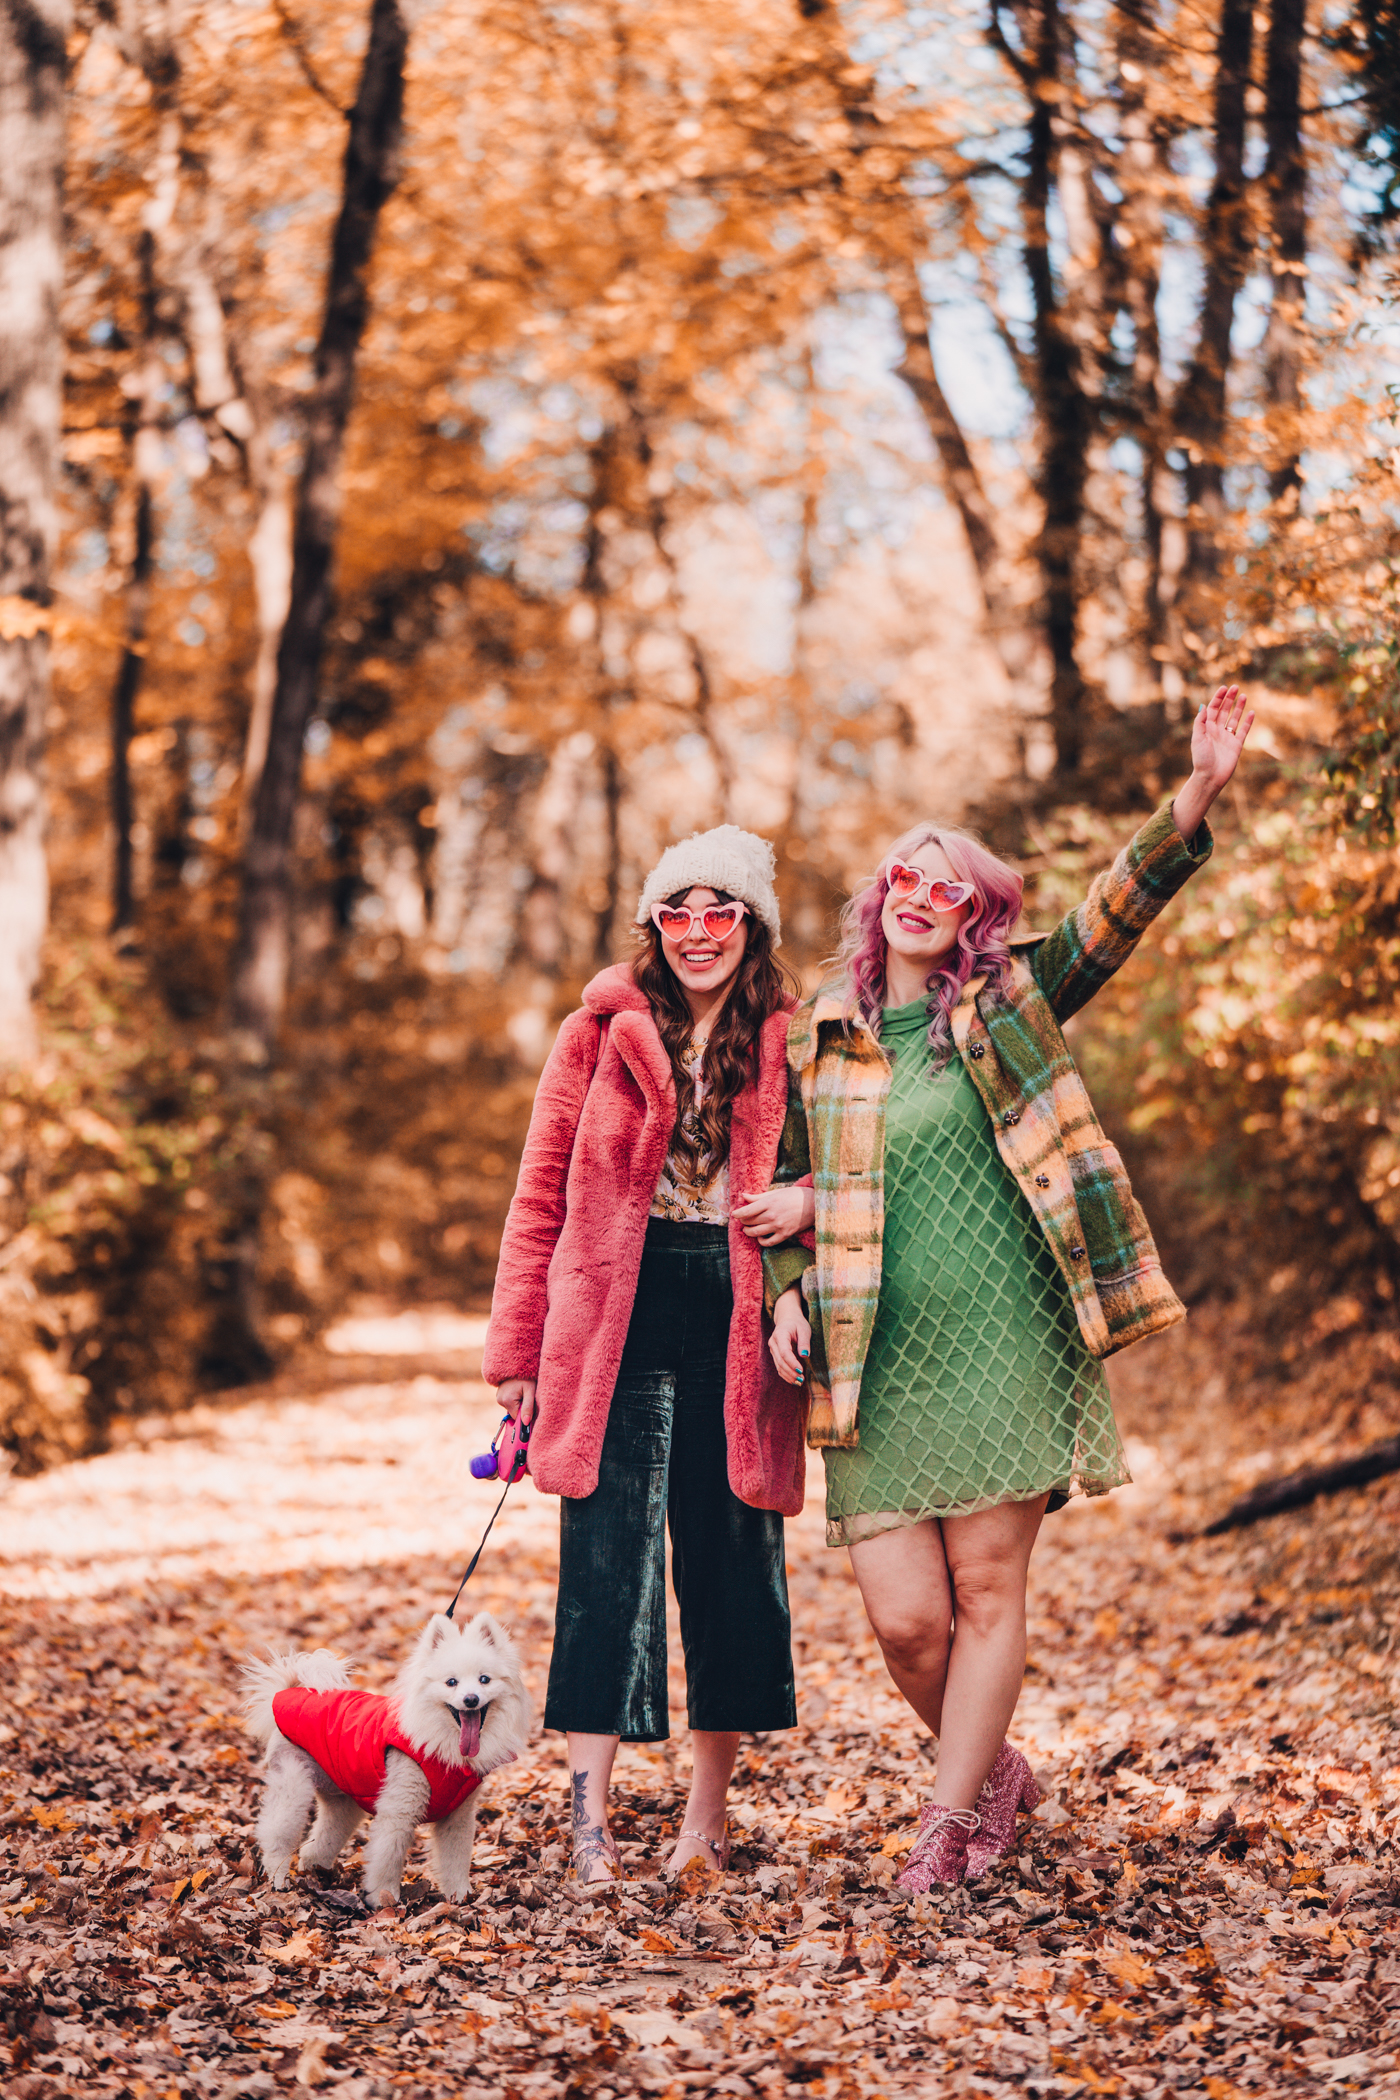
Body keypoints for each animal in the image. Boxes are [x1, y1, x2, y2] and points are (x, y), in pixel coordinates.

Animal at [241, 1612, 531, 1915]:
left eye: (484, 1679)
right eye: (451, 1682)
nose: (470, 1699)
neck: (444, 1744)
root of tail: (290, 1691)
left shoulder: (458, 1818)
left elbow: (456, 1861)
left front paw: (459, 1898)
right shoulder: (398, 1811)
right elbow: (388, 1857)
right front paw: (384, 1899)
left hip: (343, 1803)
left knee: (317, 1843)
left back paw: (318, 1874)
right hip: (293, 1789)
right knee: (276, 1836)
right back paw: (278, 1878)